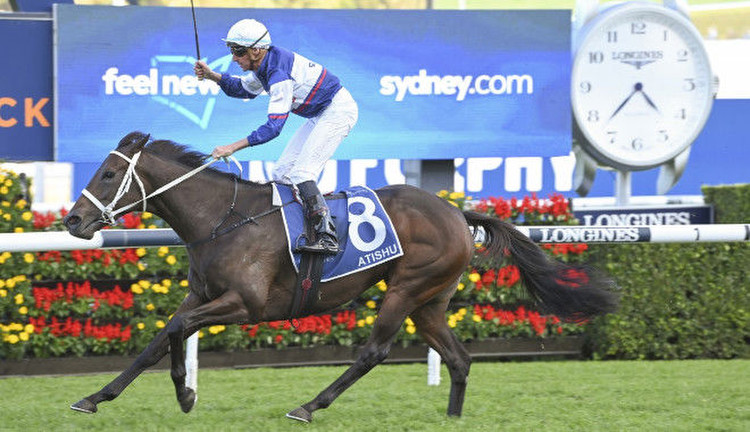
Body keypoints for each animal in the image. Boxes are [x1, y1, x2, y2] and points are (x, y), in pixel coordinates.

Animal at [64, 132, 616, 422]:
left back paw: (310, 405)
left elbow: (177, 332)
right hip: (430, 302)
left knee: (375, 351)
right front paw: (97, 397)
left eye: (108, 175)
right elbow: (160, 339)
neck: (222, 218)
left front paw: (184, 393)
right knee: (459, 358)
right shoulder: (200, 296)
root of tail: (457, 213)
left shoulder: (245, 304)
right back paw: (452, 418)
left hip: (407, 288)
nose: (72, 220)